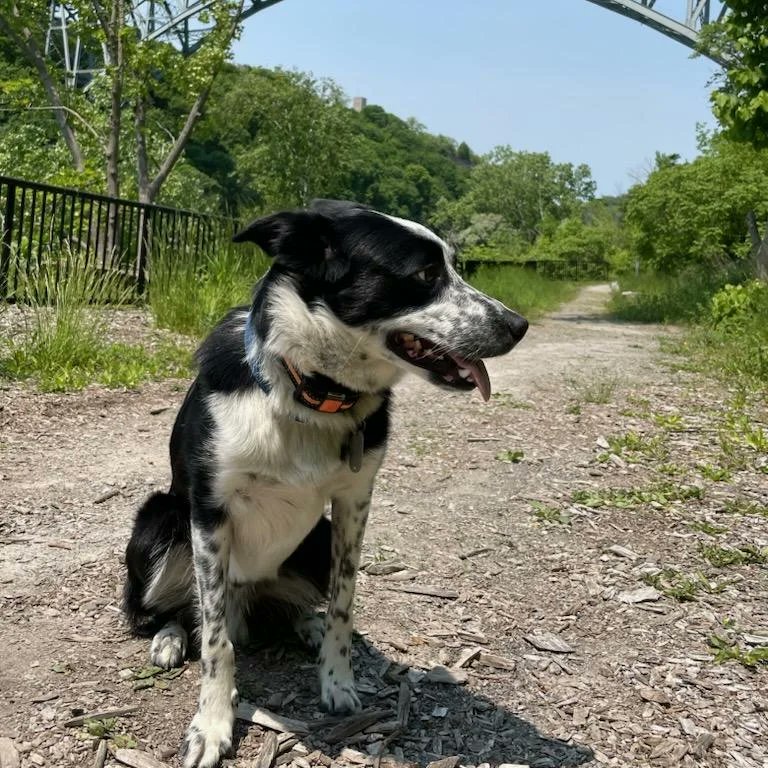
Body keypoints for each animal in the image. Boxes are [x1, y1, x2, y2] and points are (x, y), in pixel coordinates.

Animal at [123, 200, 528, 768]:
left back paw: (304, 625)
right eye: (426, 274)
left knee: (289, 605)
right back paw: (168, 637)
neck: (308, 394)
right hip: (159, 519)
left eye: (455, 265)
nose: (519, 325)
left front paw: (336, 680)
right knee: (169, 609)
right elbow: (216, 640)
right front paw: (212, 724)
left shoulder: (353, 505)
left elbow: (342, 603)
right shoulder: (209, 511)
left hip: (314, 537)